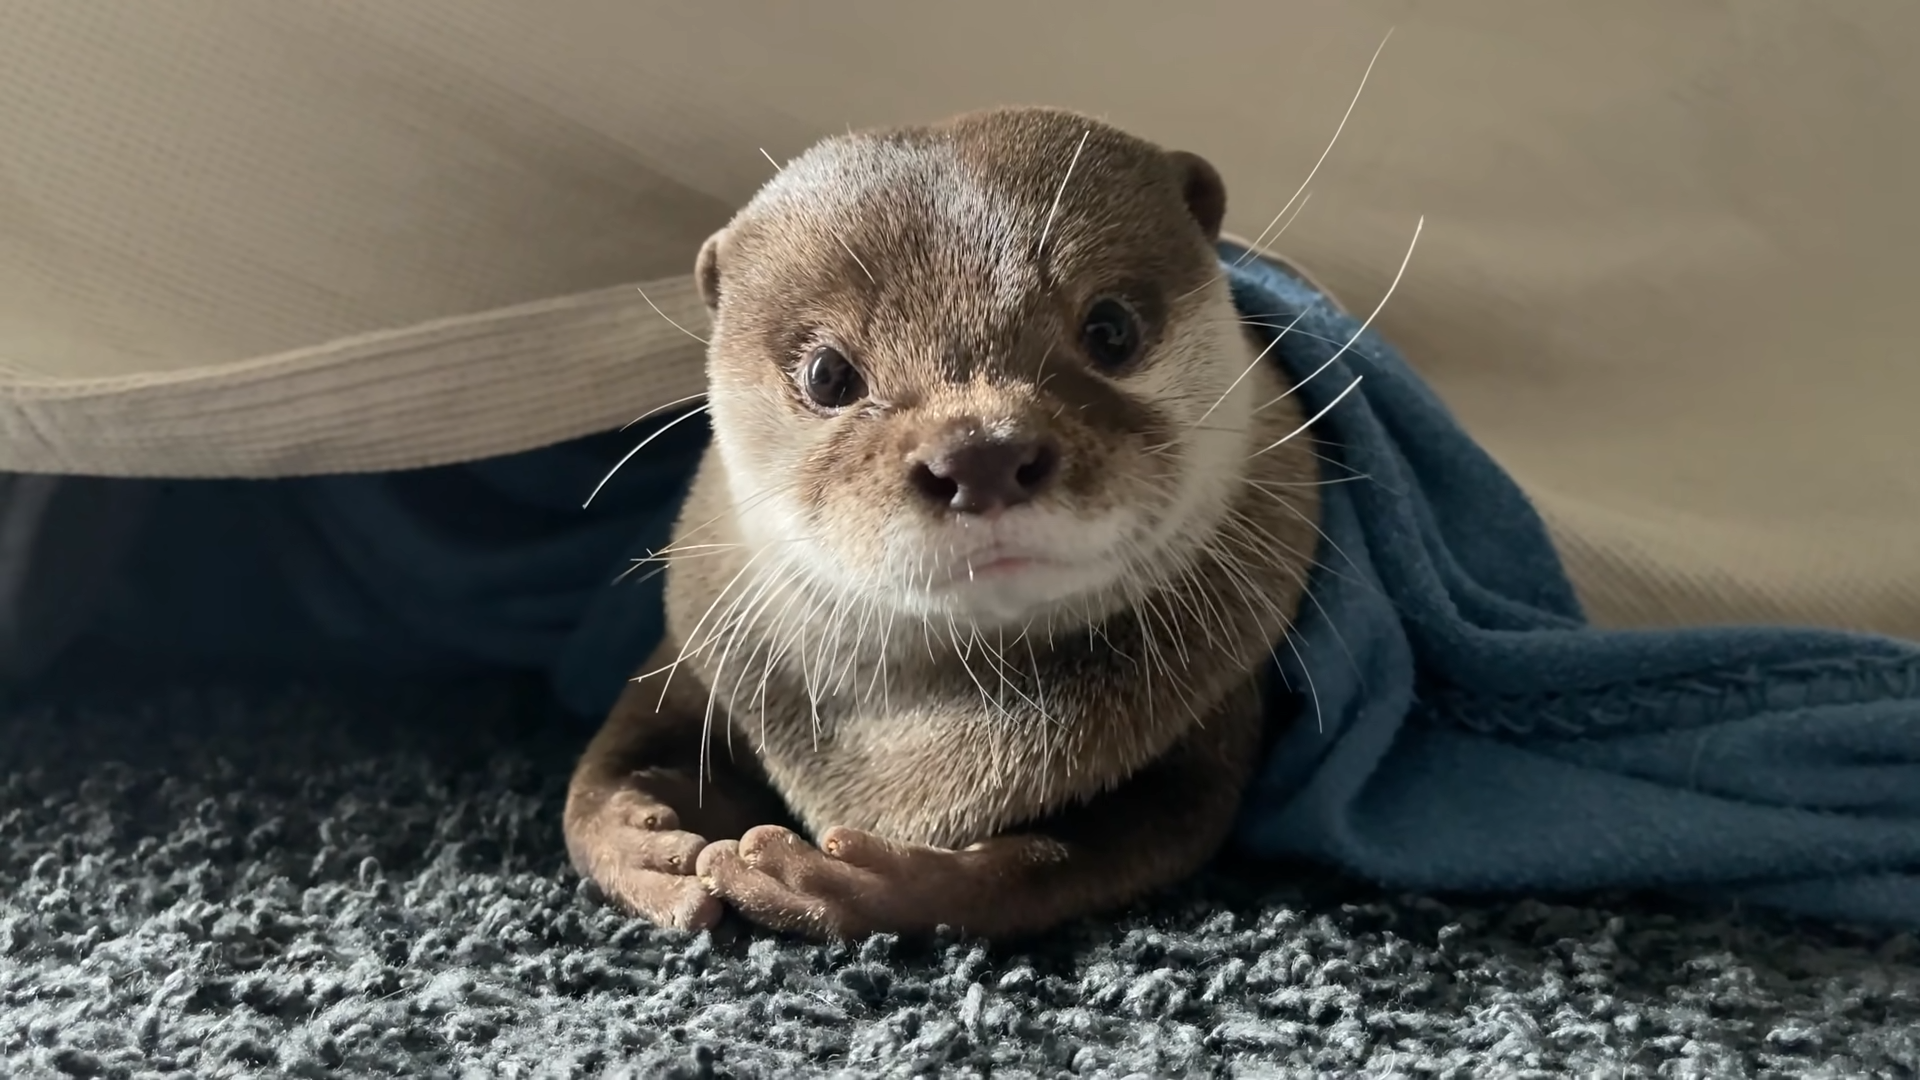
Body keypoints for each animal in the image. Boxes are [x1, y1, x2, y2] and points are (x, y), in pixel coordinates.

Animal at [563, 106, 1325, 941]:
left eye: (1112, 329)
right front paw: (647, 846)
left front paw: (839, 880)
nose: (982, 454)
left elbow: (1077, 856)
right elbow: (599, 773)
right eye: (827, 374)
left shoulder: (1214, 720)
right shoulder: (710, 644)